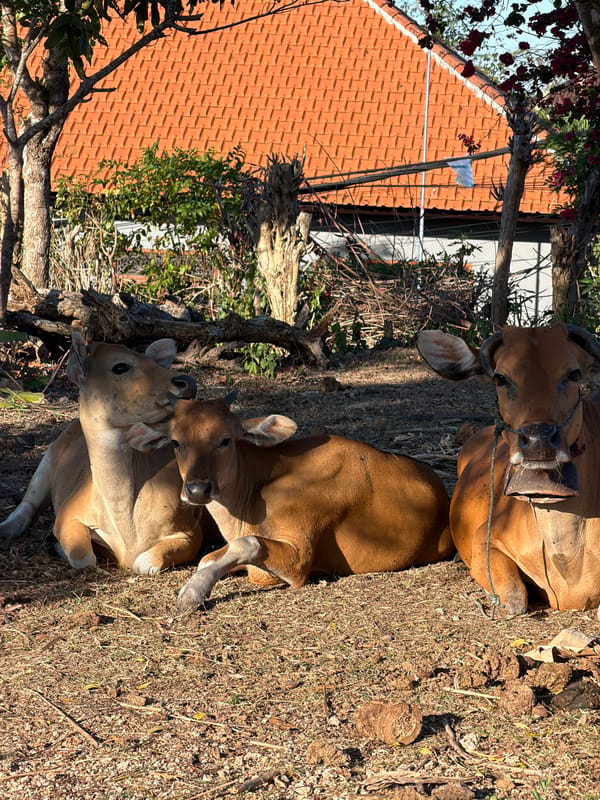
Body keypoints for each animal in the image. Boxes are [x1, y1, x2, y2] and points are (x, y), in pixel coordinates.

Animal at [0, 332, 204, 574]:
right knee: (27, 506)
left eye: (155, 362)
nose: (186, 382)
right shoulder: (68, 516)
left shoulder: (190, 530)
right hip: (47, 461)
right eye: (120, 367)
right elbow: (84, 558)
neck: (128, 531)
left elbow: (144, 563)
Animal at [127, 396, 454, 610]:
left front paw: (193, 592)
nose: (197, 489)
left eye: (226, 439)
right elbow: (208, 557)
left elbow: (248, 544)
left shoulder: (298, 560)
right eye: (176, 442)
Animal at [416, 323, 600, 616]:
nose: (538, 439)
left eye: (573, 374)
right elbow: (515, 599)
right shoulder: (486, 539)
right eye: (501, 378)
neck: (568, 559)